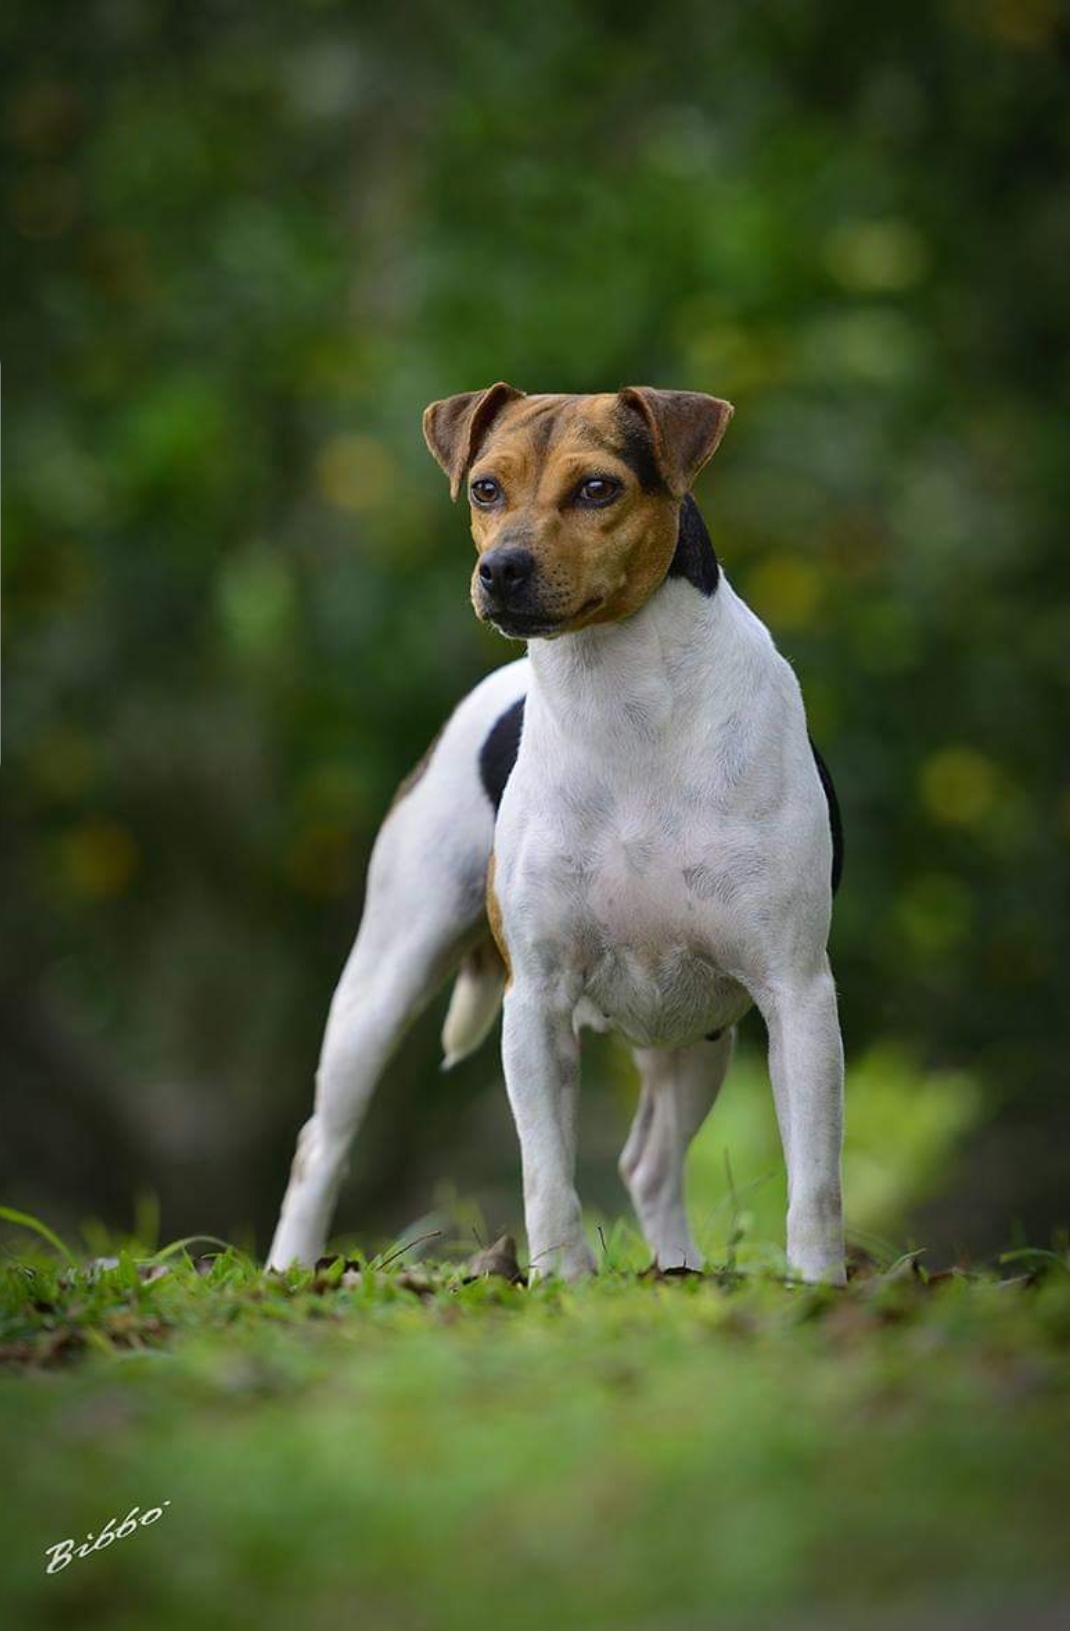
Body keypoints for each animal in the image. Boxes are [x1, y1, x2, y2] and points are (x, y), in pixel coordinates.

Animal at [265, 384, 841, 1285]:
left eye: (599, 488)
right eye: (485, 489)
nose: (501, 569)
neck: (622, 699)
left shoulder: (797, 991)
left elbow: (814, 1179)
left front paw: (818, 1286)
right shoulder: (535, 1000)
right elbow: (545, 1172)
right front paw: (560, 1280)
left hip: (698, 1033)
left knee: (651, 1162)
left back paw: (677, 1268)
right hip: (384, 978)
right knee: (318, 1146)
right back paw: (289, 1267)